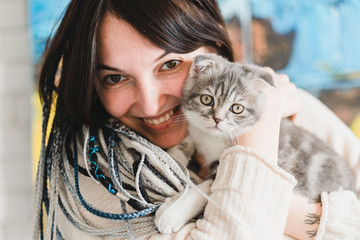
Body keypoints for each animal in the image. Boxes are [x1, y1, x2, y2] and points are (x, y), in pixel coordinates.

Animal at [155, 53, 354, 233]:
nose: (217, 120)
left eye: (237, 108)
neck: (212, 137)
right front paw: (174, 154)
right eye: (206, 99)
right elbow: (190, 136)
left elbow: (209, 185)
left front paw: (173, 212)